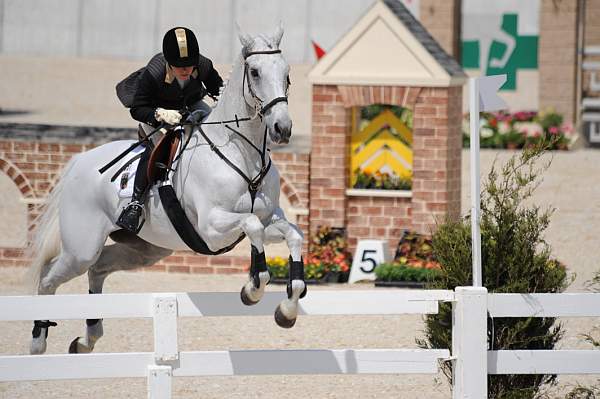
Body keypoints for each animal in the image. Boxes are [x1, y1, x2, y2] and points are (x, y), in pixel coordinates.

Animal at [27, 25, 304, 356]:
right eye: (255, 72)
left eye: (287, 73)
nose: (282, 129)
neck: (241, 153)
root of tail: (81, 161)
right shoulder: (213, 228)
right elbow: (252, 228)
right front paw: (252, 289)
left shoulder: (268, 219)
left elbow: (292, 235)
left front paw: (286, 311)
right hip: (81, 249)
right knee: (48, 279)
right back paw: (37, 341)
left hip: (145, 249)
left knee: (98, 269)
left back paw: (86, 339)